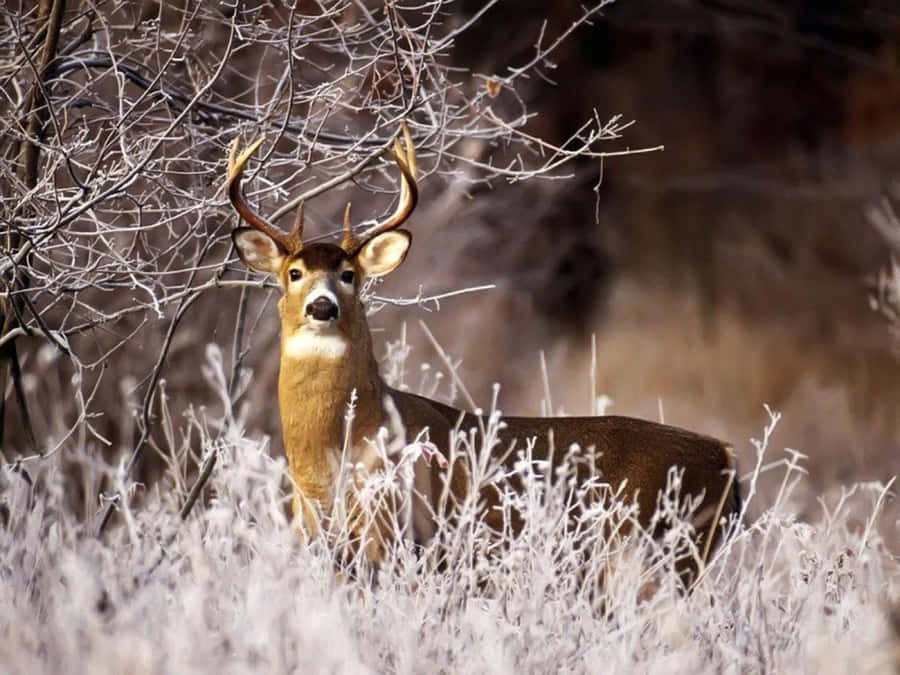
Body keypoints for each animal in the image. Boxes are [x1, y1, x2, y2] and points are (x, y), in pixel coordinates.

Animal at [225, 122, 741, 587]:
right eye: (294, 273)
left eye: (349, 275)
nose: (322, 306)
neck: (330, 457)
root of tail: (726, 456)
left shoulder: (397, 535)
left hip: (660, 551)